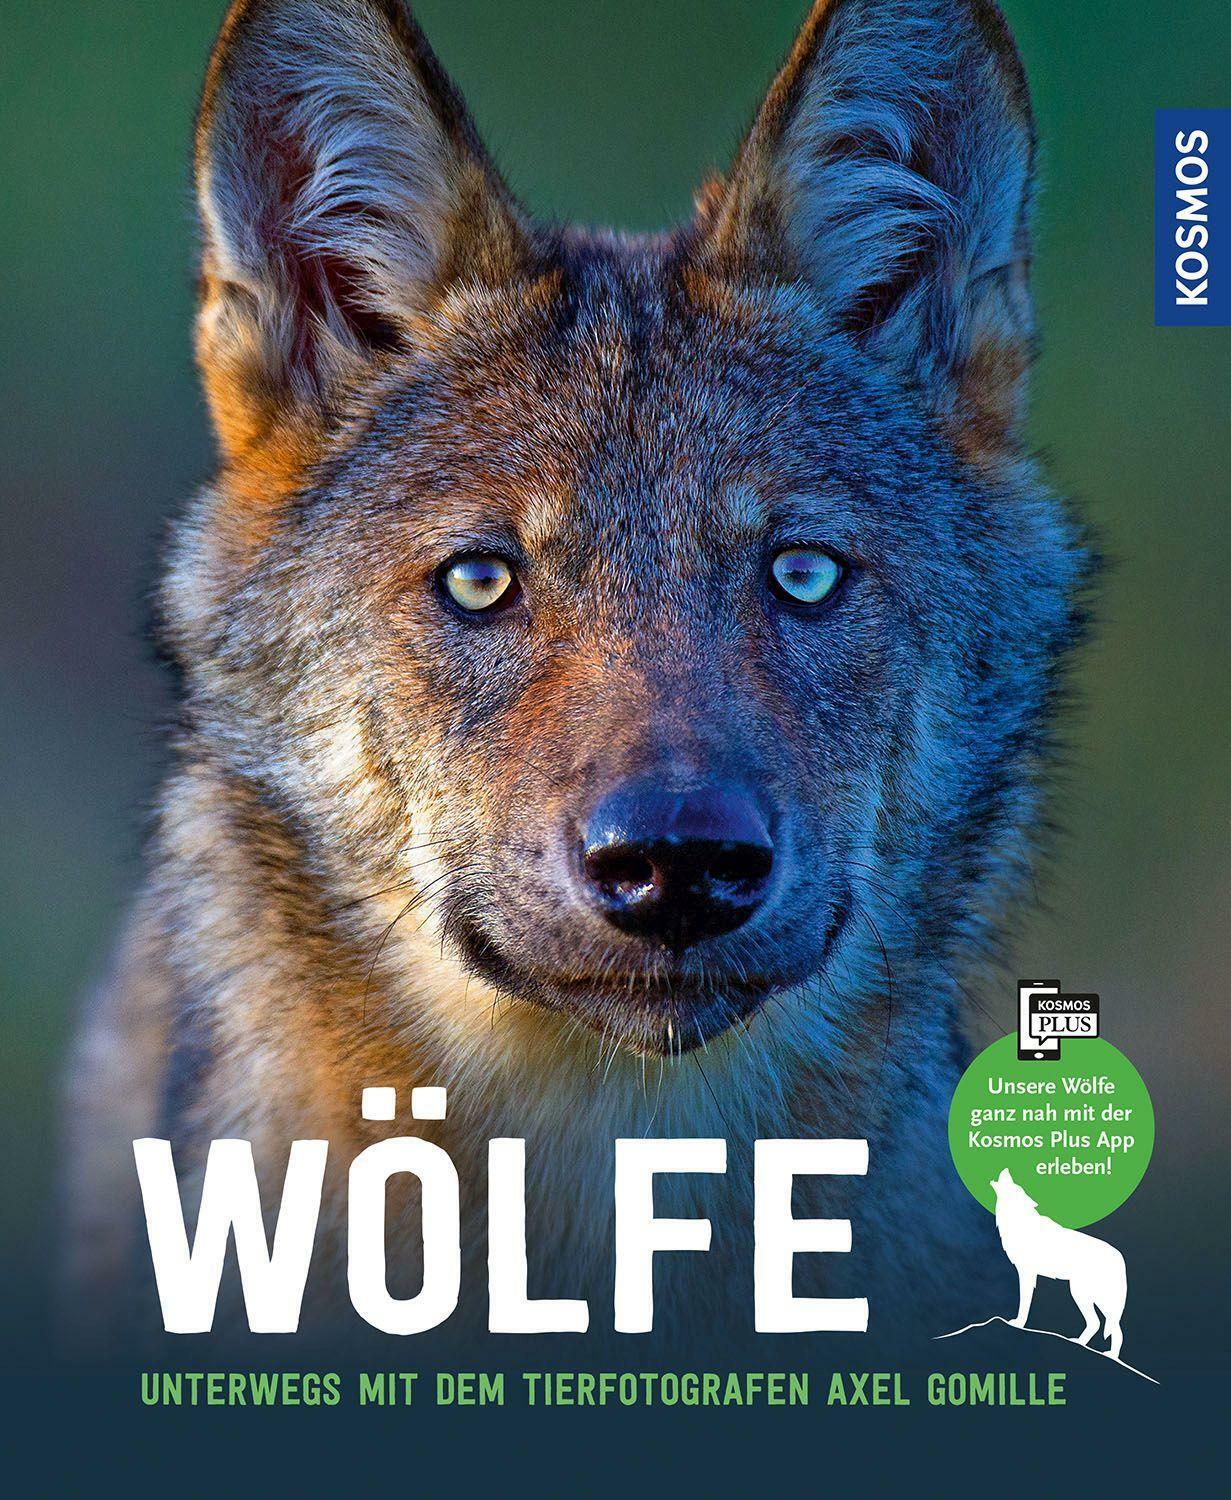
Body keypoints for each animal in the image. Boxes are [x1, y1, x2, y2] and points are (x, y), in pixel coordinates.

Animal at [991, 1169, 1127, 1358]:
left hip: (1085, 1295)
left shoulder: (1026, 1273)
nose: (1006, 1170)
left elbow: (1024, 1303)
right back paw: (1094, 1348)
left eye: (1015, 1187)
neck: (1019, 1221)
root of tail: (1119, 1256)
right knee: (1106, 1326)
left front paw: (1018, 1323)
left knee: (1106, 1326)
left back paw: (1105, 1353)